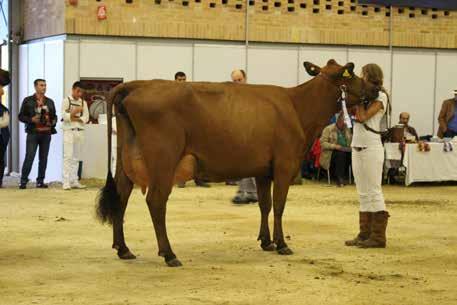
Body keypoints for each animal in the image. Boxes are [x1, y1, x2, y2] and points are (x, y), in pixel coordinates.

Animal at [95, 58, 374, 266]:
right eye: (350, 73)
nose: (374, 87)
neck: (296, 107)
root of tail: (137, 85)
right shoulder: (285, 164)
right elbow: (279, 205)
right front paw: (282, 244)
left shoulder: (263, 170)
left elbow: (265, 205)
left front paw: (266, 241)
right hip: (163, 160)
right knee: (155, 201)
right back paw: (169, 254)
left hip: (125, 160)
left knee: (121, 196)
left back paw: (123, 249)